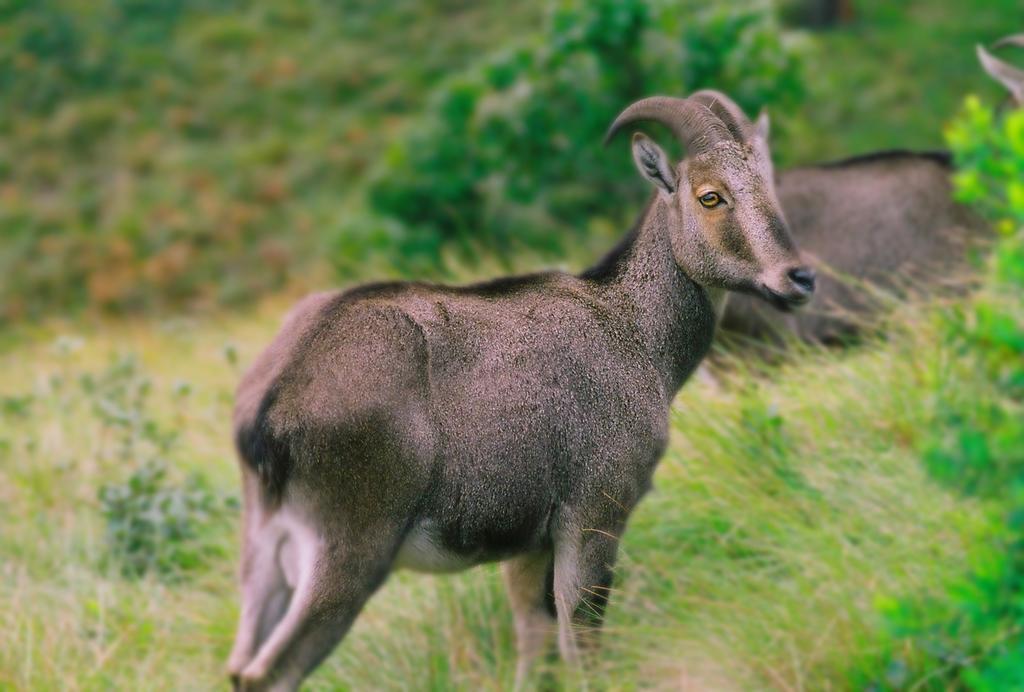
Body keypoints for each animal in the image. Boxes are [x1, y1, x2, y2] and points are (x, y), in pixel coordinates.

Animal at [228, 94, 811, 687]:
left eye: (769, 183)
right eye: (710, 195)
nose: (799, 278)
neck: (634, 330)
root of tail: (274, 400)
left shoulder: (529, 542)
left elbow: (534, 638)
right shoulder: (594, 513)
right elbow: (580, 638)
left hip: (265, 552)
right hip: (349, 546)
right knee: (269, 672)